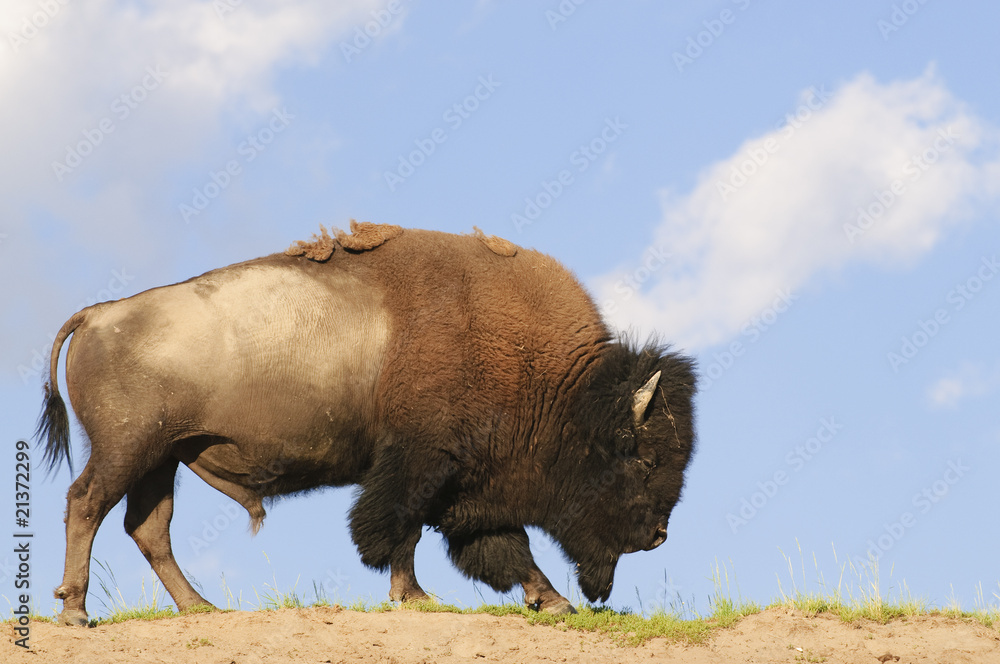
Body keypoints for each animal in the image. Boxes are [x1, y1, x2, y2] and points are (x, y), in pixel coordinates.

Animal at [37, 224, 696, 628]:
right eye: (644, 458)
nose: (659, 535)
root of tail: (96, 314)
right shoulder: (420, 465)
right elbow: (406, 532)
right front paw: (420, 596)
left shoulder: (456, 481)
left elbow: (483, 542)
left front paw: (547, 601)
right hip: (128, 449)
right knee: (86, 503)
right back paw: (76, 612)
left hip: (163, 458)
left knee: (148, 527)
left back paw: (200, 608)